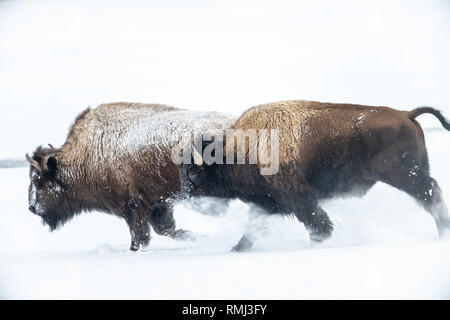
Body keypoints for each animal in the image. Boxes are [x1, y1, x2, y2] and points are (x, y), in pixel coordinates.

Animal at [26, 102, 236, 250]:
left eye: (37, 178)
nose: (32, 207)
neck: (87, 153)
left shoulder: (133, 207)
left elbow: (140, 236)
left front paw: (134, 250)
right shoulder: (156, 205)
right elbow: (166, 230)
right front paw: (198, 237)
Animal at [185, 99, 450, 250]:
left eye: (196, 174)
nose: (187, 197)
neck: (240, 150)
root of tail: (406, 114)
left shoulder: (300, 199)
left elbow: (318, 223)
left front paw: (316, 243)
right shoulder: (270, 202)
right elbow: (252, 228)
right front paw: (237, 248)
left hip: (404, 176)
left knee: (431, 194)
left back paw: (442, 234)